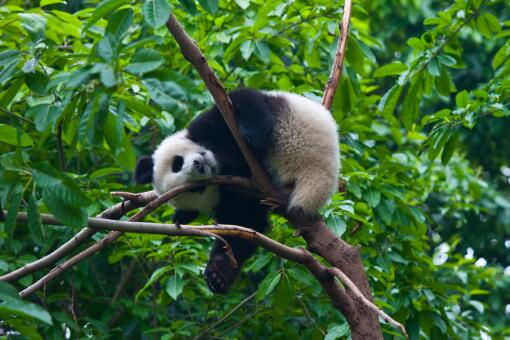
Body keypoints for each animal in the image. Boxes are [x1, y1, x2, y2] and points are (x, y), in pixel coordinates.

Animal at [136, 89, 338, 294]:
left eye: (176, 163)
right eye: (196, 188)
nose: (199, 165)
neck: (222, 160)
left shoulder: (210, 126)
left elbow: (241, 101)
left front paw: (253, 134)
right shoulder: (234, 194)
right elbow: (243, 222)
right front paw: (218, 273)